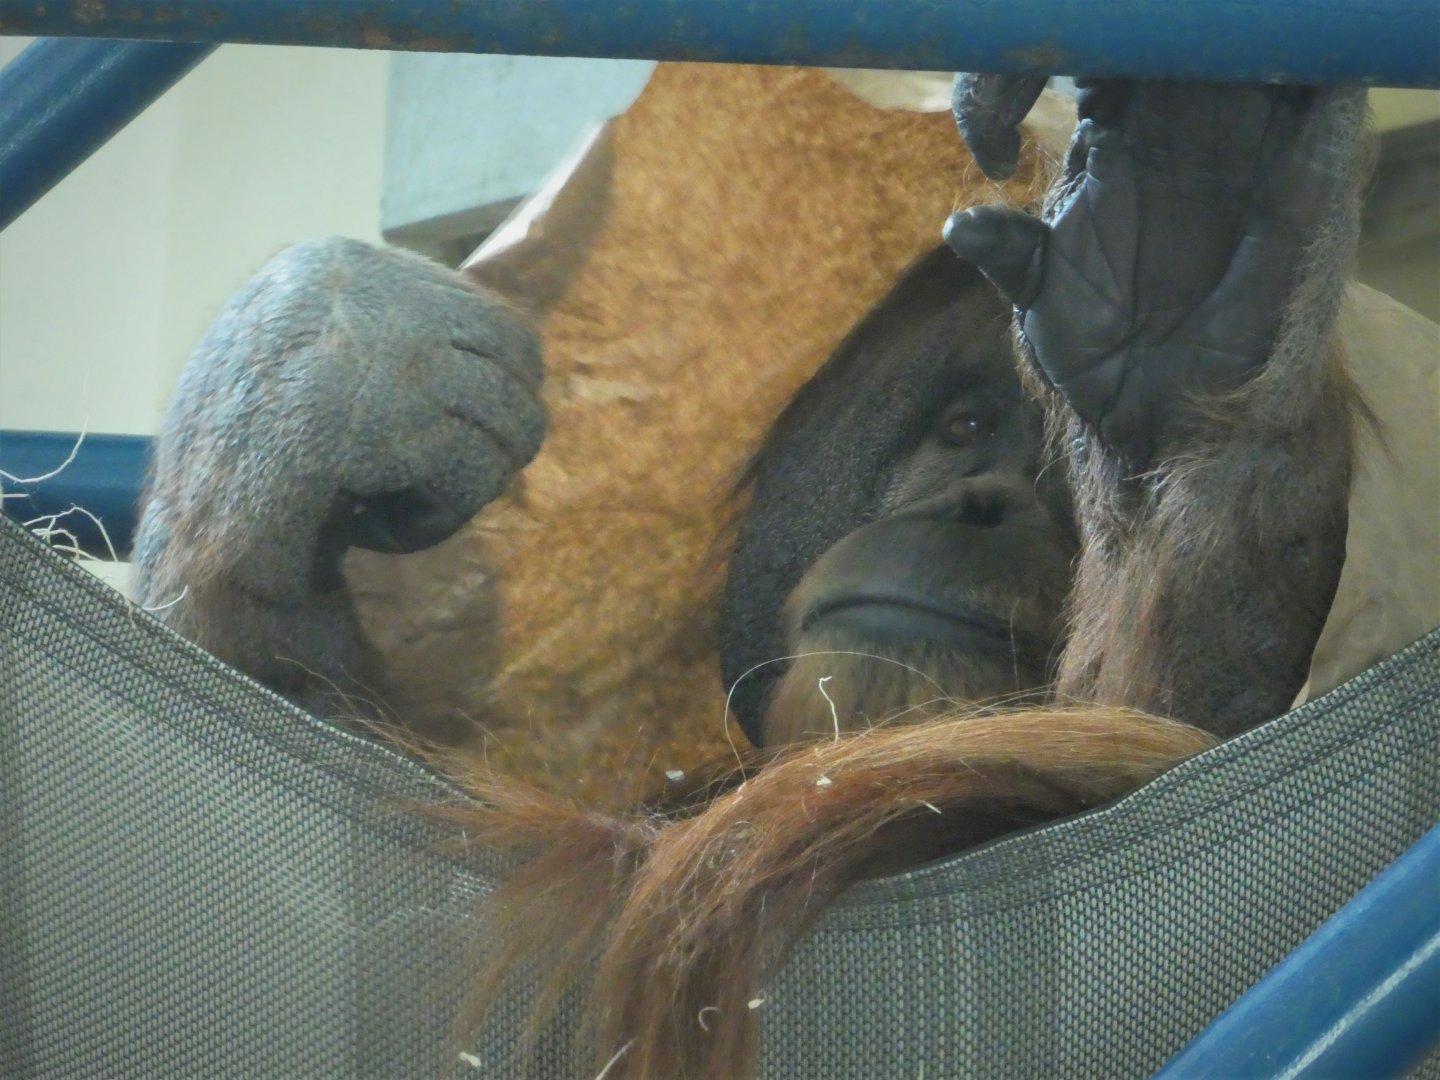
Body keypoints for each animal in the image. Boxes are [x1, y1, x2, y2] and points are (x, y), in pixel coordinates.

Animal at [132, 72, 1369, 1079]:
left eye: (1063, 490)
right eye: (967, 429)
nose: (979, 506)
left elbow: (1169, 724)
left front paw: (1190, 363)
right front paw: (334, 361)